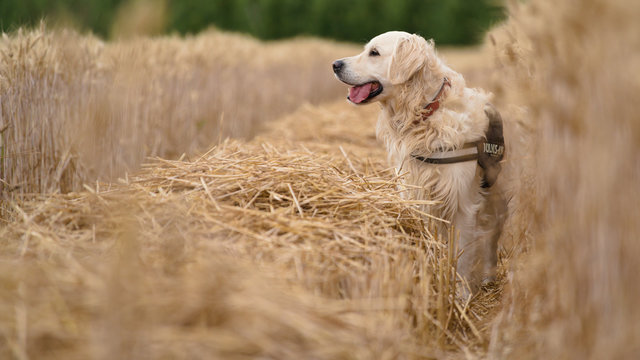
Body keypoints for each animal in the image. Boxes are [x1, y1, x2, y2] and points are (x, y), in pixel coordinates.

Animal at [332, 31, 508, 296]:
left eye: (374, 52)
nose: (335, 64)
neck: (425, 111)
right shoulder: (417, 193)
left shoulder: (463, 202)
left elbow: (463, 254)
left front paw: (460, 294)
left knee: (490, 237)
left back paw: (488, 276)